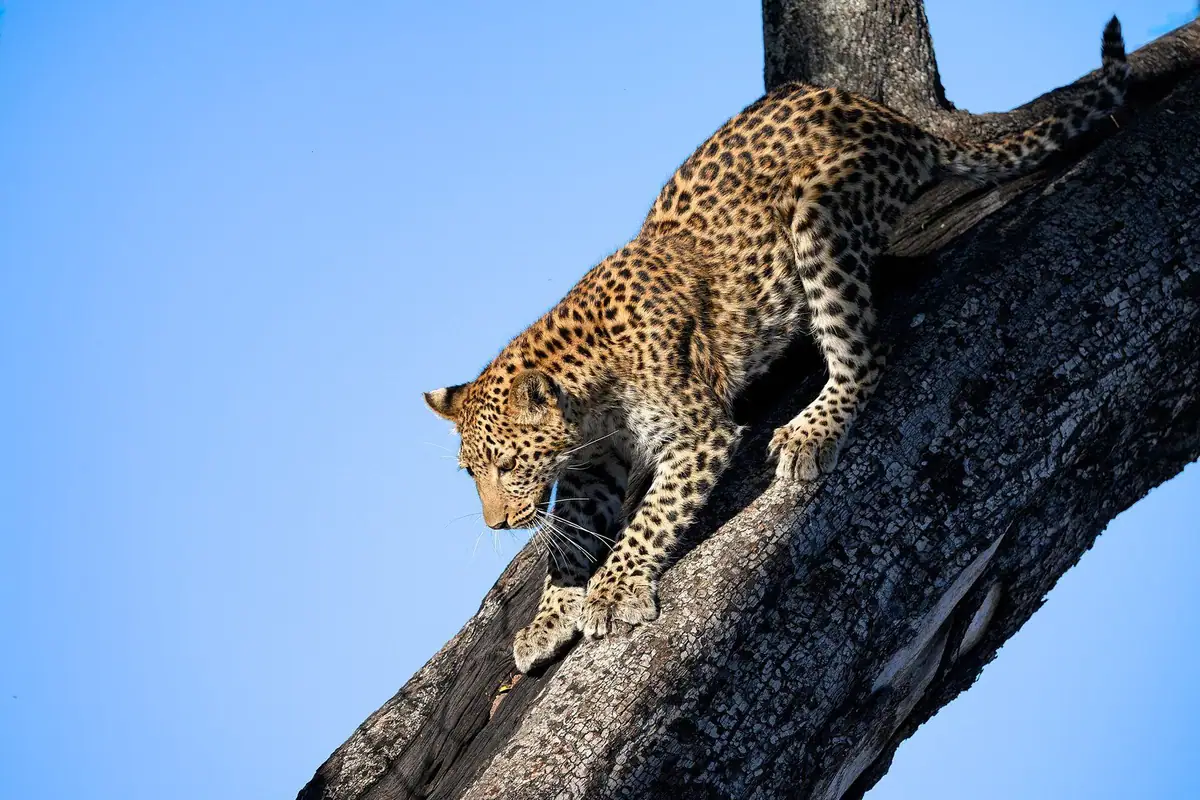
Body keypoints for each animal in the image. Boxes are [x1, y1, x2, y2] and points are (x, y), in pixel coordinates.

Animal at [424, 18, 1129, 674]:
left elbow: (651, 516)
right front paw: (549, 616)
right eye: (471, 474)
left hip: (820, 215)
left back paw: (808, 434)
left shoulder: (697, 433)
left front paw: (613, 590)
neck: (592, 396)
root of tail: (894, 120)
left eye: (507, 466)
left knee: (864, 352)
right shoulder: (593, 464)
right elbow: (567, 539)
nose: (494, 525)